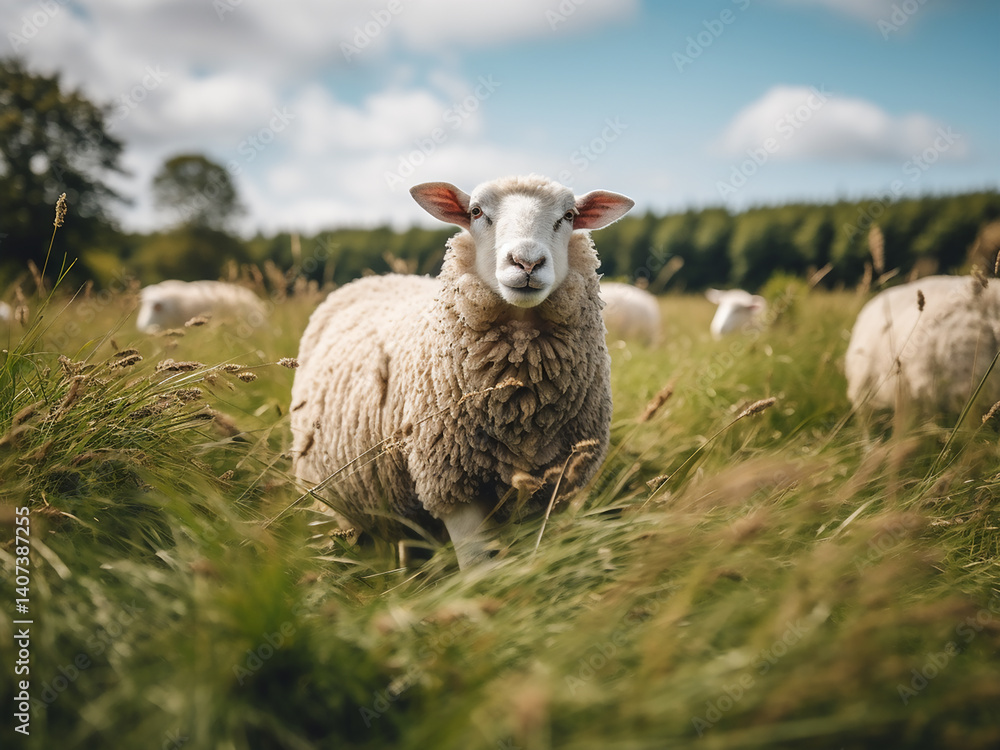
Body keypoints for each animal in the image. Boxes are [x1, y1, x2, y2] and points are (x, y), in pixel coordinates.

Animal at [289, 175, 634, 569]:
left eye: (570, 215)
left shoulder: (548, 487)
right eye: (476, 212)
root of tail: (376, 278)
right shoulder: (450, 484)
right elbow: (477, 567)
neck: (522, 403)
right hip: (323, 491)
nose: (527, 262)